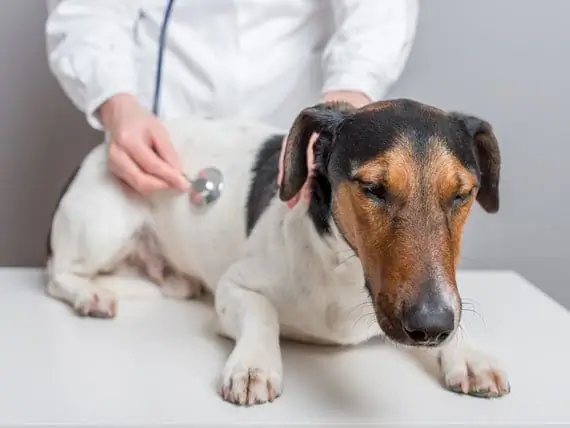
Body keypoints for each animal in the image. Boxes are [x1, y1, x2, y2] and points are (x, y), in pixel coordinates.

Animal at [45, 98, 510, 406]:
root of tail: (102, 149)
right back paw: (89, 294)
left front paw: (468, 354)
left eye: (462, 194)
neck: (344, 272)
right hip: (102, 227)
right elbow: (262, 312)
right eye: (373, 188)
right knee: (56, 274)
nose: (431, 326)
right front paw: (254, 364)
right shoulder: (234, 288)